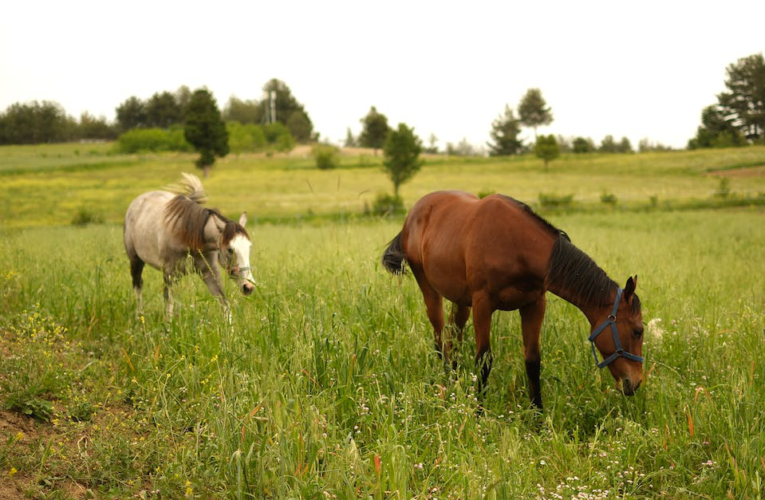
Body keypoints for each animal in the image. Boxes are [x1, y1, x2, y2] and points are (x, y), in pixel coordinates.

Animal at [124, 174, 255, 318]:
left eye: (249, 247)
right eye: (230, 249)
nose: (249, 286)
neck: (189, 238)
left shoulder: (209, 272)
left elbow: (224, 304)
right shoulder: (169, 273)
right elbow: (168, 306)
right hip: (136, 261)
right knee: (138, 286)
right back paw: (139, 318)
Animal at [380, 189, 640, 408]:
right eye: (637, 331)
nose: (636, 383)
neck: (516, 245)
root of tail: (414, 213)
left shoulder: (534, 305)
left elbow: (533, 361)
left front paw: (538, 417)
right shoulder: (483, 305)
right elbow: (484, 360)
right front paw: (479, 412)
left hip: (461, 301)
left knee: (453, 337)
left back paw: (454, 380)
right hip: (429, 288)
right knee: (439, 335)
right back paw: (444, 380)